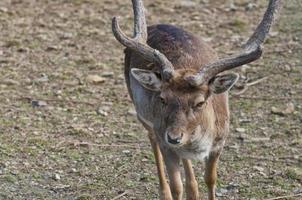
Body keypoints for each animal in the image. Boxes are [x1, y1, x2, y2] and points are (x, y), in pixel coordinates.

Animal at [112, 0, 280, 199]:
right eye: (162, 98)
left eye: (200, 102)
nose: (174, 137)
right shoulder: (166, 144)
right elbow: (177, 186)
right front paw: (174, 190)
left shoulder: (220, 141)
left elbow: (210, 179)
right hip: (144, 117)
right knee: (153, 140)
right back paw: (165, 192)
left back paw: (193, 189)